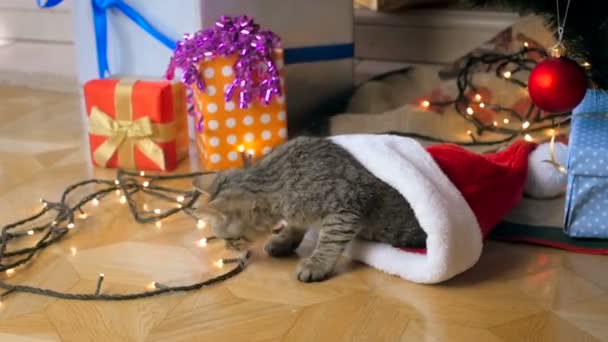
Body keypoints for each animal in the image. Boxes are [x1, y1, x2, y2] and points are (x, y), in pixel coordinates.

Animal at [197, 136, 426, 284]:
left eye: (231, 239)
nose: (229, 249)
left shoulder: (345, 208)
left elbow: (329, 242)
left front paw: (315, 264)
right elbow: (295, 227)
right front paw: (283, 241)